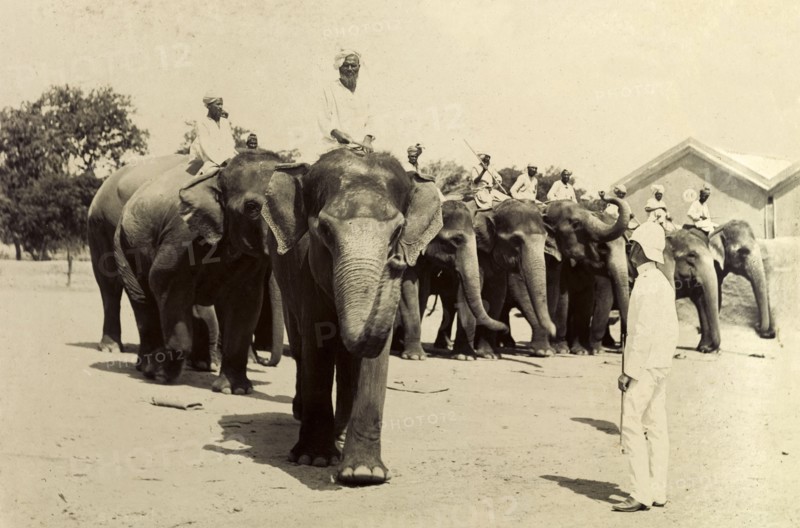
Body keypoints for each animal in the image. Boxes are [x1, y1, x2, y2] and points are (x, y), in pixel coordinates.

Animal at [88, 153, 285, 369]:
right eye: (252, 209)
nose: (265, 361)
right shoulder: (186, 235)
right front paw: (209, 362)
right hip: (101, 227)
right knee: (110, 285)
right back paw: (112, 348)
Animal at [263, 149, 442, 485]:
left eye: (397, 232)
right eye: (324, 230)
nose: (396, 263)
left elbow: (374, 356)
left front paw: (363, 473)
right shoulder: (307, 276)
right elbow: (317, 342)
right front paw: (315, 459)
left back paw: (342, 435)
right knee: (300, 346)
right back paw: (304, 416)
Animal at [394, 199, 508, 360]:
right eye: (456, 240)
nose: (505, 328)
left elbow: (424, 291)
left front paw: (465, 357)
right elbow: (409, 288)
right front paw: (415, 356)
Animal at [432, 198, 556, 360]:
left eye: (545, 240)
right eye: (516, 240)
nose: (554, 329)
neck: (494, 209)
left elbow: (497, 294)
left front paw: (490, 355)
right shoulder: (476, 251)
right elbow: (469, 292)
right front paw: (465, 356)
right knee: (448, 302)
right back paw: (443, 345)